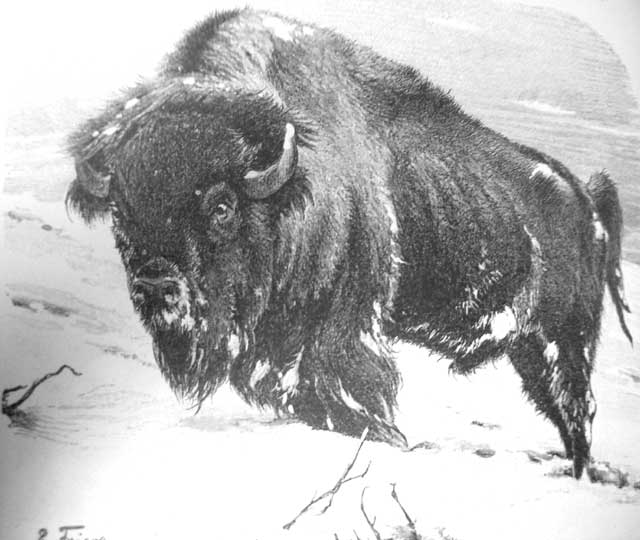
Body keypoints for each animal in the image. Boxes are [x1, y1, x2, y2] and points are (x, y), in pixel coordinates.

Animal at [67, 9, 631, 479]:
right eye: (120, 211)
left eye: (222, 206)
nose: (156, 285)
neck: (293, 182)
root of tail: (586, 199)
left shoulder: (346, 317)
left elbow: (344, 379)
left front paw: (387, 435)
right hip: (529, 348)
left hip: (564, 339)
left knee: (576, 409)